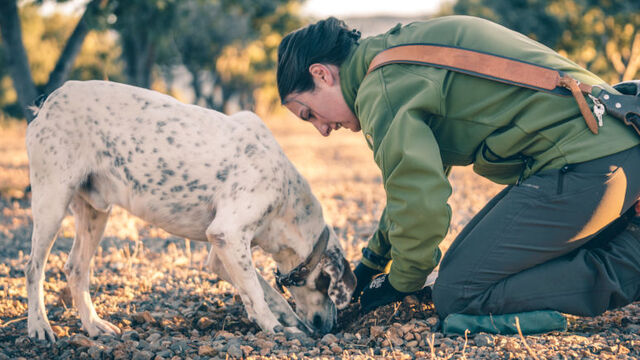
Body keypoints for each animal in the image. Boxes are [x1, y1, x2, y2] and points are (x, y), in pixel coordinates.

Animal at [26, 81, 356, 340]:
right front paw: (273, 327)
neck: (287, 198)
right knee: (34, 268)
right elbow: (256, 290)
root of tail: (49, 99)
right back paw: (39, 327)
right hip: (51, 200)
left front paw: (287, 320)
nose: (331, 327)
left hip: (95, 212)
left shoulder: (222, 254)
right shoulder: (228, 235)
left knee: (75, 268)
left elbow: (266, 291)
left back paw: (94, 325)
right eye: (326, 285)